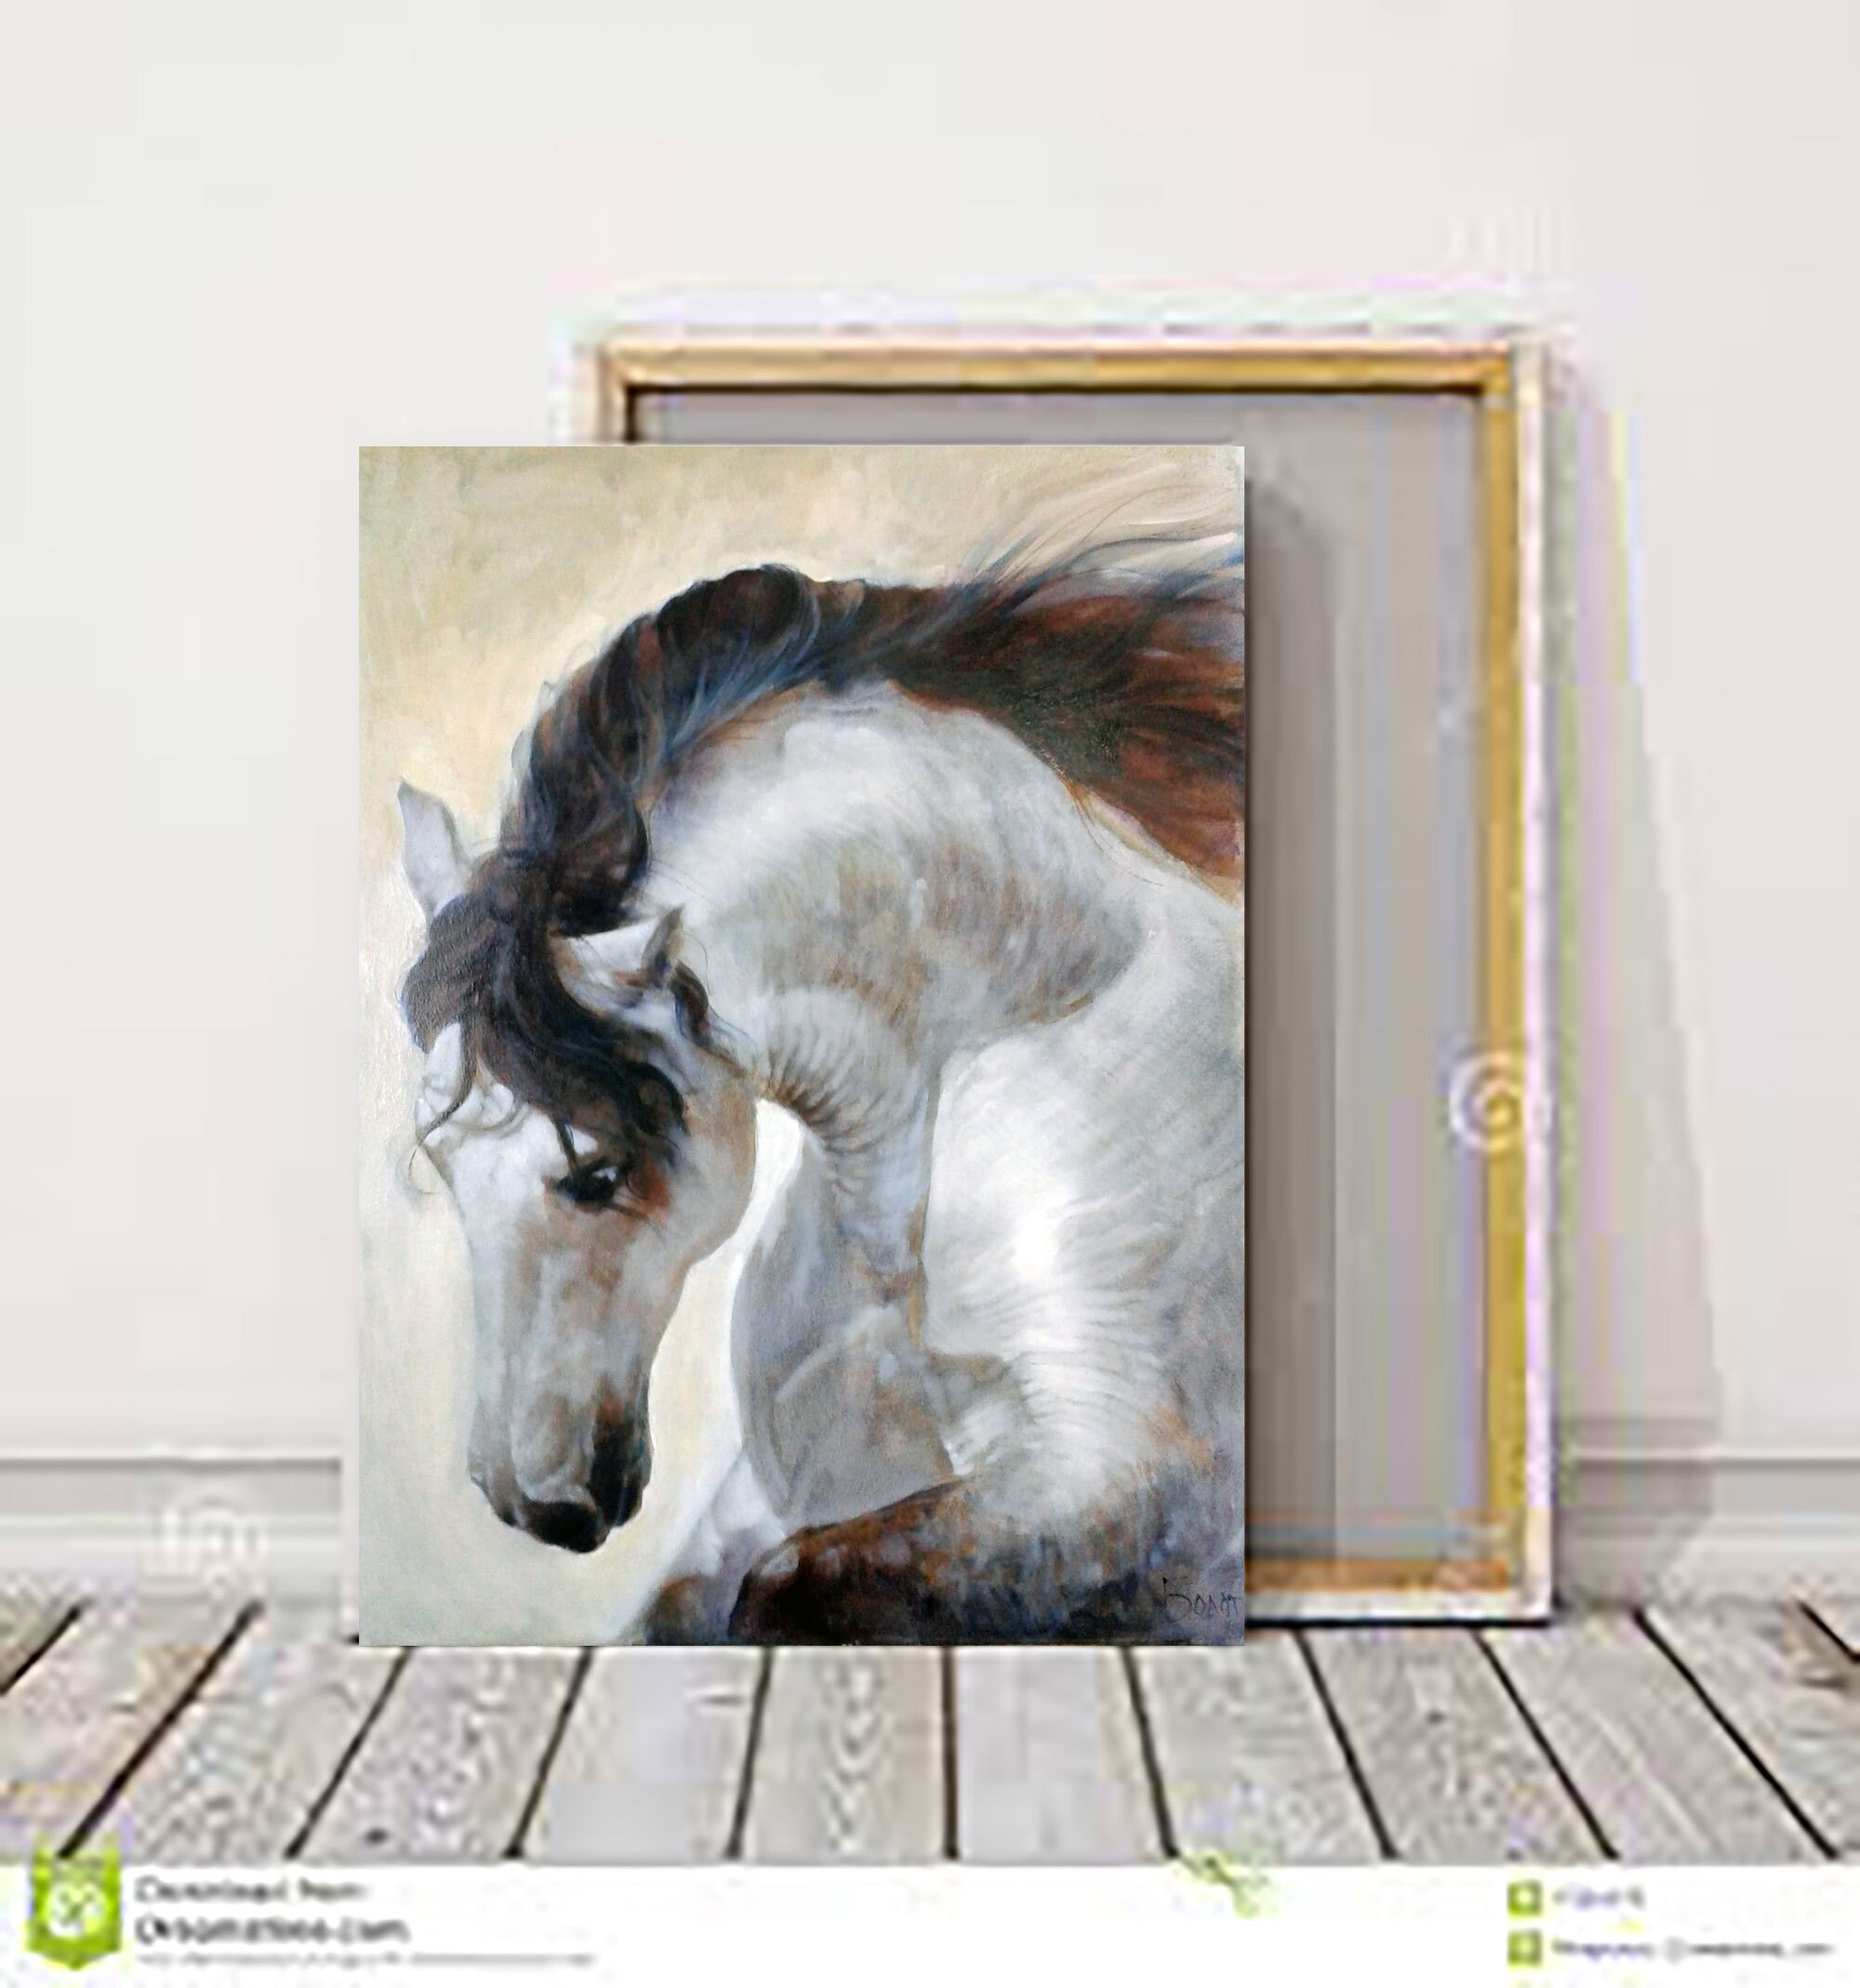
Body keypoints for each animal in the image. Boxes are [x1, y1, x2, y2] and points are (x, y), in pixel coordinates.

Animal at [395, 548, 1246, 1642]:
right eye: (442, 1160)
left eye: (598, 1174)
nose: (530, 1502)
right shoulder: (775, 1495)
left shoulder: (1132, 1488)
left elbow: (787, 1586)